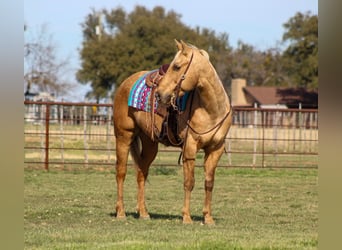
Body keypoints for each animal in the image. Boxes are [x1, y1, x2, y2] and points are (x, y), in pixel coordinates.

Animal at [112, 39, 232, 225]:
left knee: (141, 172)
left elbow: (209, 183)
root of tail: (126, 83)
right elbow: (189, 182)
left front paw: (208, 218)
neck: (212, 110)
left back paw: (144, 213)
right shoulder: (190, 148)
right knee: (121, 172)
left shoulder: (215, 149)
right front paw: (187, 217)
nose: (160, 94)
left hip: (149, 143)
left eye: (176, 66)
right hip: (123, 136)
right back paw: (121, 212)